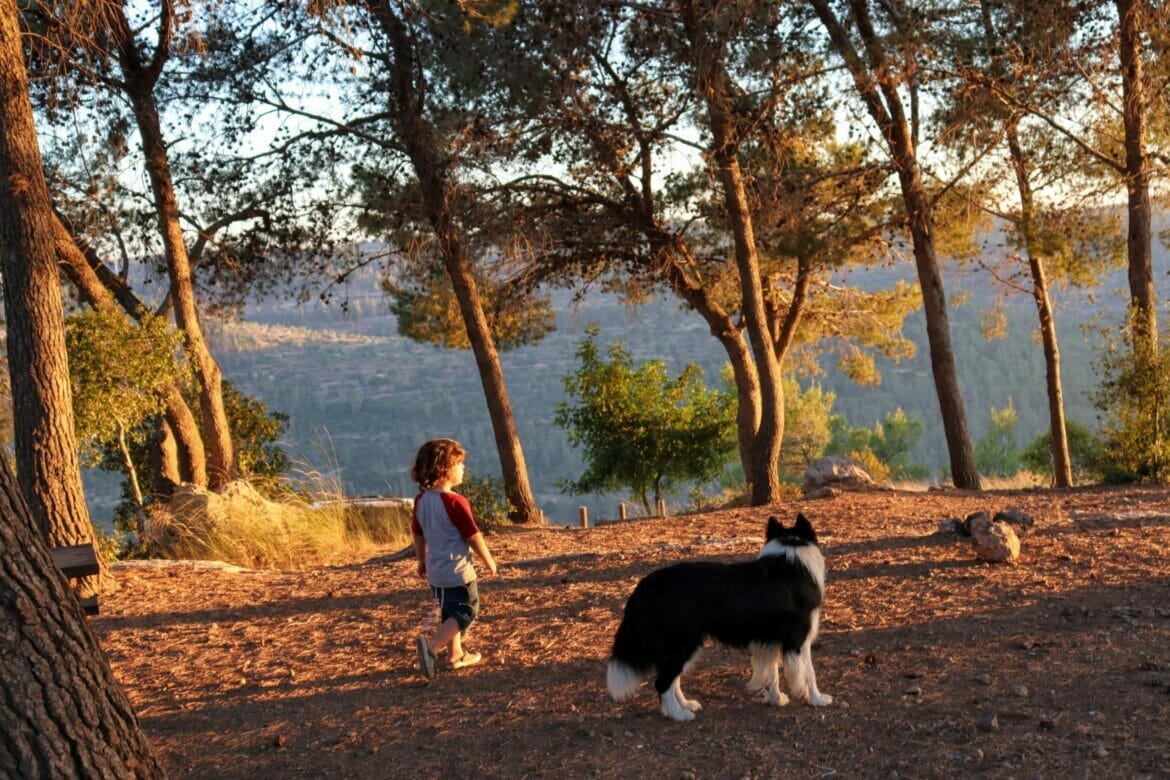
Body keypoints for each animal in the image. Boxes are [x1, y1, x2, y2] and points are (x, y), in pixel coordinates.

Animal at [603, 514, 833, 725]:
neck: (791, 550)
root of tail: (644, 587)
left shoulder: (769, 640)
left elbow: (772, 671)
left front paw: (775, 698)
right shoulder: (799, 639)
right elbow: (809, 672)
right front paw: (817, 698)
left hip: (677, 647)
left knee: (671, 679)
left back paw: (684, 705)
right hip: (683, 643)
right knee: (663, 682)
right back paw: (678, 714)